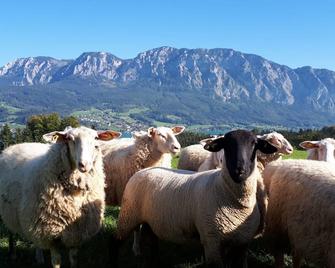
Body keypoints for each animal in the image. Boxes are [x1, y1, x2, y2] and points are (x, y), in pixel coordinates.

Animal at [0, 126, 121, 268]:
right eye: (69, 138)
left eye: (96, 138)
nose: (84, 164)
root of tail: (14, 146)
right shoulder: (51, 234)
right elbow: (56, 261)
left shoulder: (76, 231)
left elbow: (74, 259)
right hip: (10, 212)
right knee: (11, 232)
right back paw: (13, 254)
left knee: (36, 241)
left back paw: (39, 258)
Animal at [117, 130, 276, 266]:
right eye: (226, 144)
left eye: (255, 144)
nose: (239, 170)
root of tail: (143, 171)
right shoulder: (212, 241)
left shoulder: (242, 244)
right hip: (128, 216)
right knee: (117, 243)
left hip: (151, 221)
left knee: (152, 242)